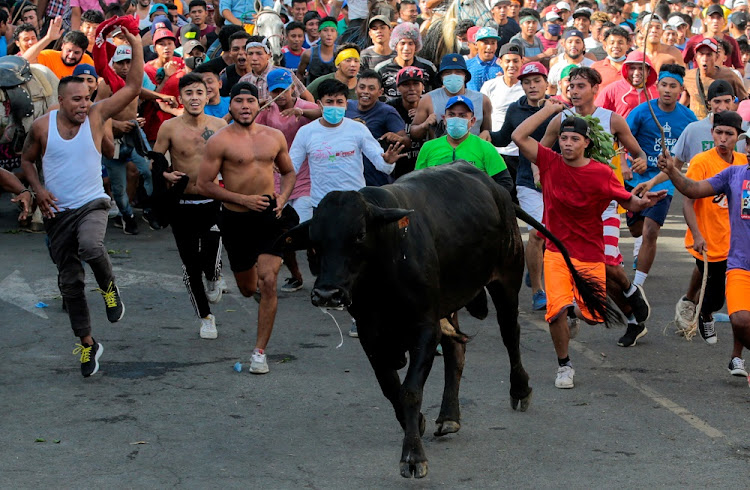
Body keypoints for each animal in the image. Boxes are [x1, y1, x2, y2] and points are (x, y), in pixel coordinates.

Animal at [274, 163, 612, 476]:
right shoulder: (372, 335)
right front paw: (418, 423)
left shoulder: (425, 328)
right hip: (450, 303)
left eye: (358, 235)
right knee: (456, 351)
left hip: (505, 281)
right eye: (315, 242)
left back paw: (519, 390)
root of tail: (498, 191)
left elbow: (410, 390)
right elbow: (390, 386)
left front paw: (412, 456)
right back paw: (449, 416)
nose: (326, 293)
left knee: (510, 335)